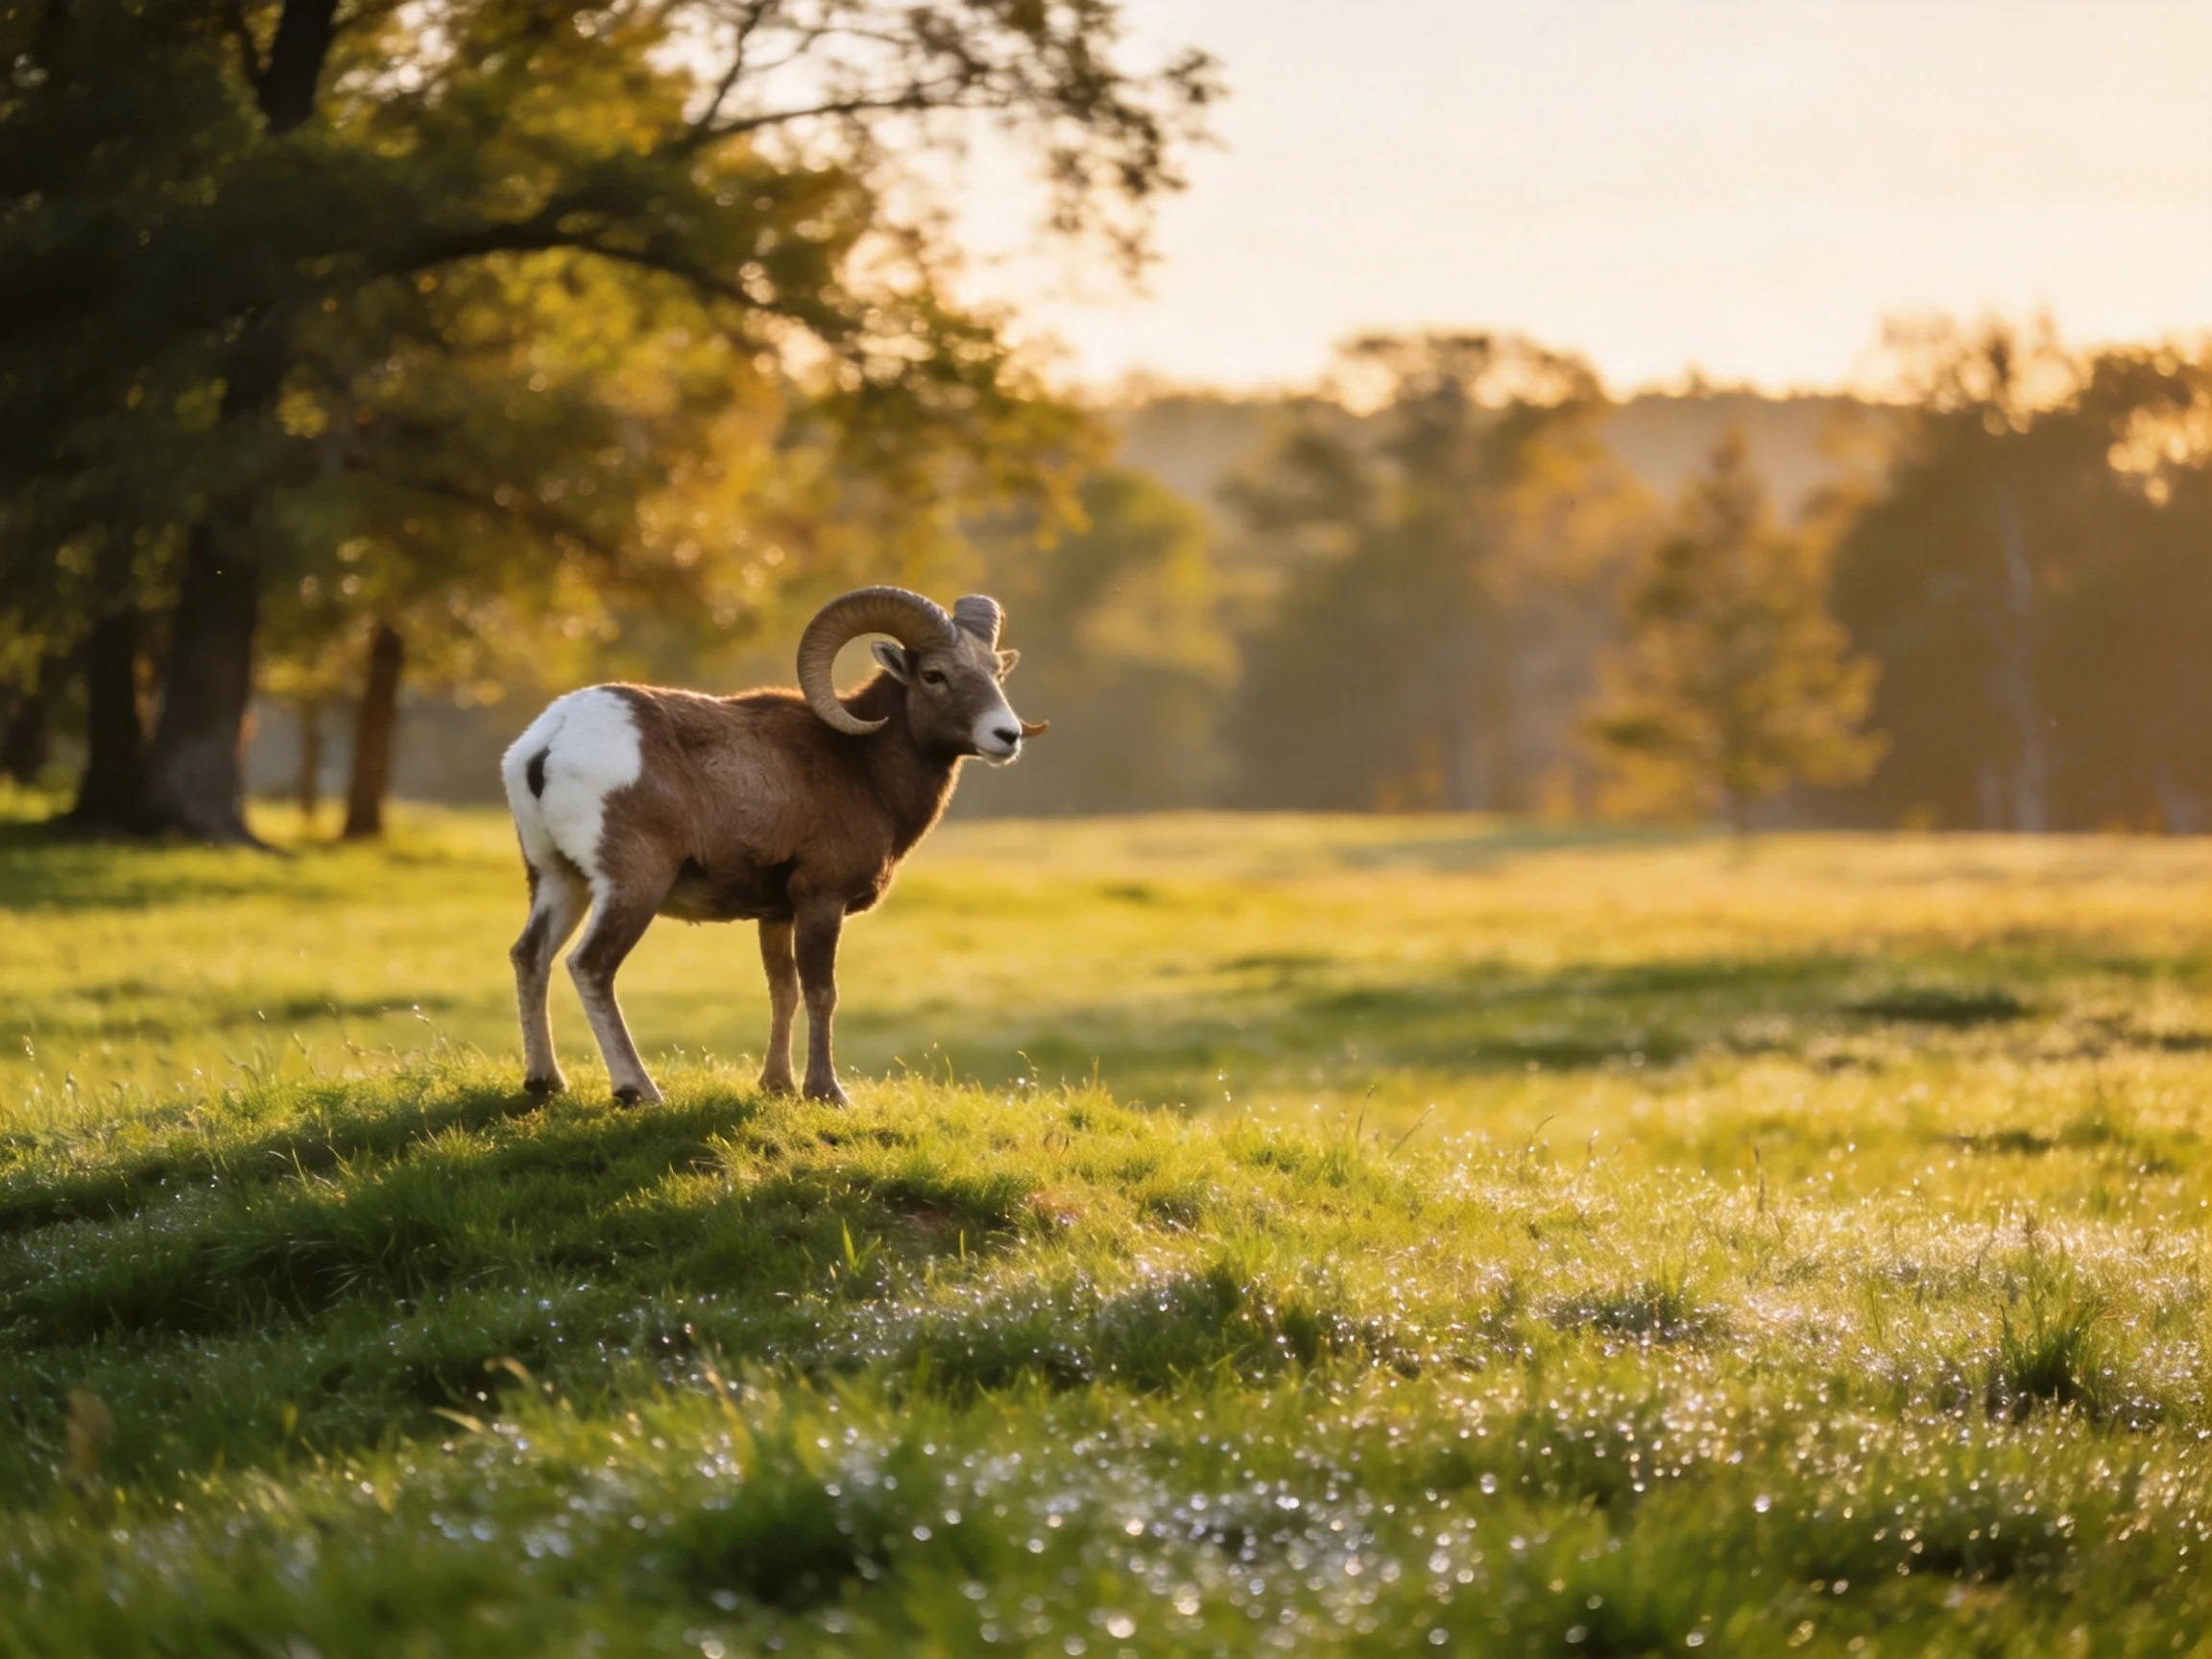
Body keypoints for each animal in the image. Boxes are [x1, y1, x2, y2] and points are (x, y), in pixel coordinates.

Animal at [500, 586, 1043, 1107]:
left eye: (995, 672)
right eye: (934, 674)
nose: (1007, 735)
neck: (865, 767)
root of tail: (551, 741)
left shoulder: (776, 914)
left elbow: (783, 990)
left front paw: (777, 1086)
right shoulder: (821, 899)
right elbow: (822, 992)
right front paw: (827, 1092)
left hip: (558, 879)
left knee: (531, 955)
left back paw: (546, 1082)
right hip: (633, 887)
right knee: (590, 966)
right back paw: (639, 1090)